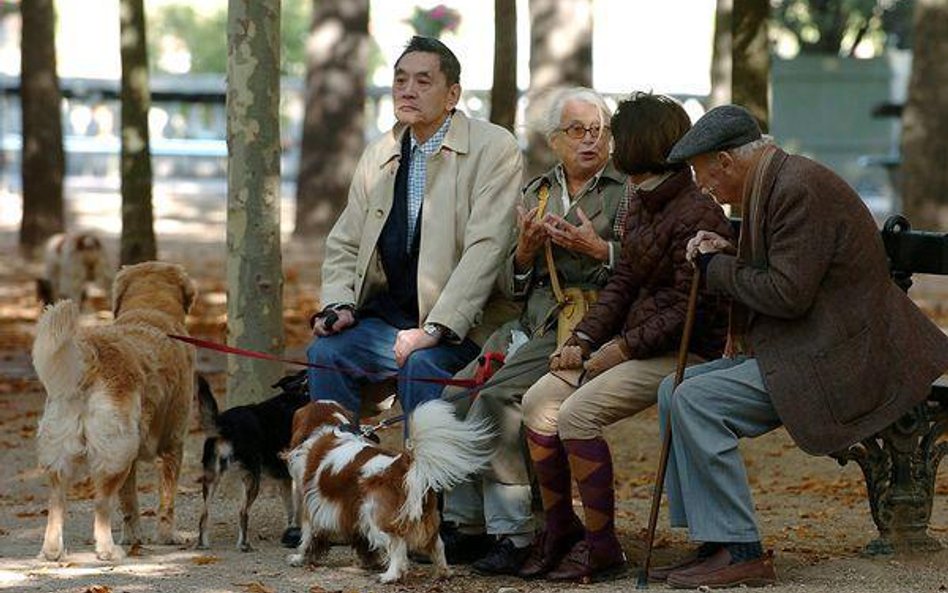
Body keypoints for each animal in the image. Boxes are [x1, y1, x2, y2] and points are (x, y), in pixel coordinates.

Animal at [33, 260, 197, 560]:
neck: (150, 310)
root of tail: (89, 359)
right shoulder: (174, 444)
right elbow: (167, 500)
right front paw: (167, 537)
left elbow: (129, 502)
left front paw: (133, 537)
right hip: (117, 451)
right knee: (101, 503)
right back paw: (107, 550)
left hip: (67, 453)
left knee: (57, 502)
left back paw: (52, 550)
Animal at [195, 370, 308, 552]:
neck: (300, 392)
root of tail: (224, 426)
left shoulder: (285, 480)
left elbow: (291, 510)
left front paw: (291, 531)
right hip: (252, 479)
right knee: (243, 512)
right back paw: (244, 544)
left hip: (211, 479)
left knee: (204, 514)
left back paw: (202, 544)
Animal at [284, 398, 496, 584]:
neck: (328, 426)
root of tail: (403, 464)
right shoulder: (352, 511)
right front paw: (368, 561)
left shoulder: (312, 504)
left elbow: (308, 535)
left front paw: (299, 558)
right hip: (423, 517)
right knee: (437, 544)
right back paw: (443, 571)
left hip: (377, 519)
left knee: (397, 546)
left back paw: (391, 575)